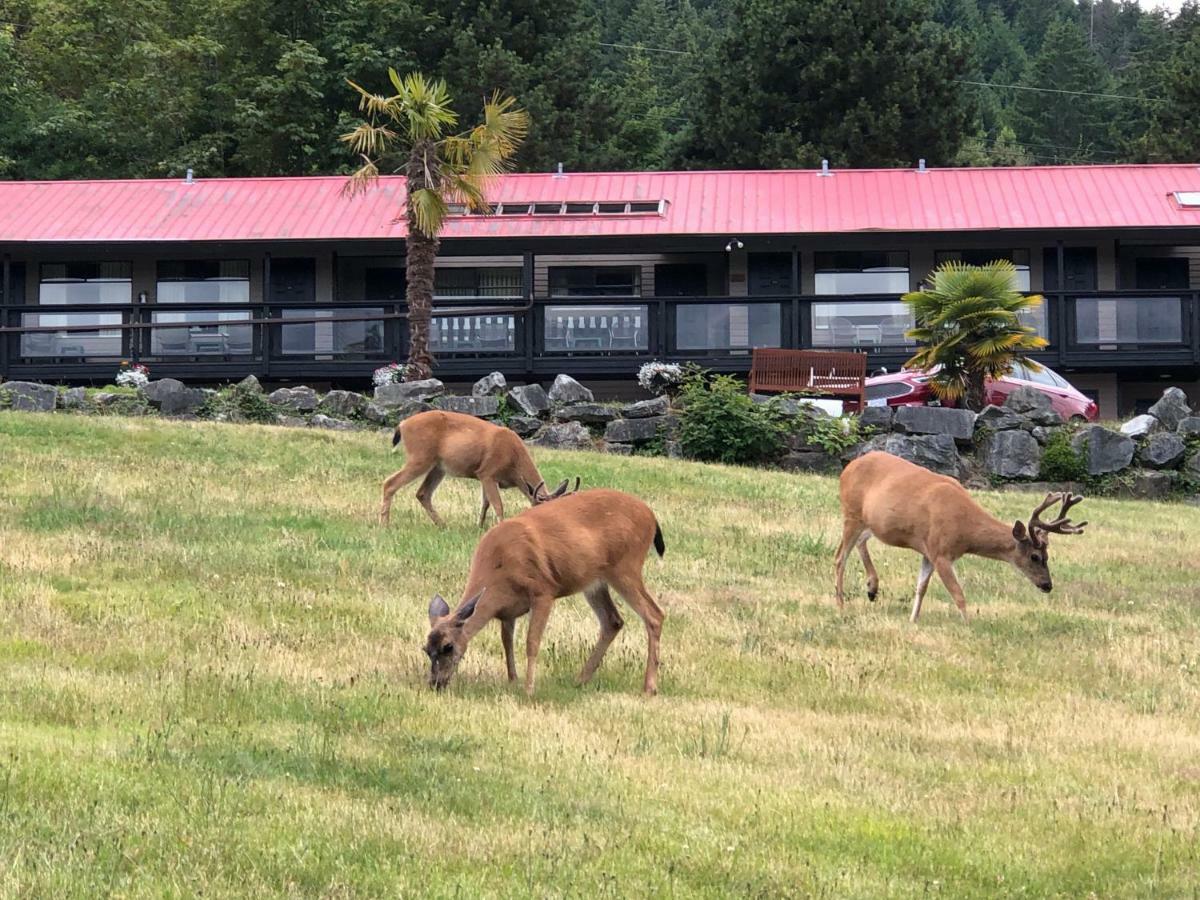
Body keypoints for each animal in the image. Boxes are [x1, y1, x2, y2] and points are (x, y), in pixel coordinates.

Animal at [379, 410, 576, 528]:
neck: (514, 461)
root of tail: (402, 424)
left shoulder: (482, 476)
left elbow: (485, 504)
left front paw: (479, 526)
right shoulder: (488, 472)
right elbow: (497, 505)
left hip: (438, 466)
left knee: (422, 493)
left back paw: (443, 525)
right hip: (420, 457)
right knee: (390, 483)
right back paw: (385, 525)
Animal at [422, 494, 667, 696]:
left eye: (448, 647)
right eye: (426, 649)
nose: (435, 684)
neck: (498, 570)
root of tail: (652, 516)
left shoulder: (543, 591)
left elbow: (532, 641)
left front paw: (529, 689)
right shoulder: (507, 610)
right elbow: (507, 641)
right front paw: (513, 679)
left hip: (626, 567)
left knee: (655, 614)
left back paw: (649, 687)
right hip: (595, 582)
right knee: (613, 621)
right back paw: (580, 680)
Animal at [835, 453, 1089, 624]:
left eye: (1048, 556)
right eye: (1035, 556)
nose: (1047, 585)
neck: (966, 531)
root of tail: (847, 468)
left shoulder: (928, 551)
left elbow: (921, 588)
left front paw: (912, 620)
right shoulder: (941, 552)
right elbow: (958, 593)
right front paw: (968, 624)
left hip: (869, 521)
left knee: (861, 542)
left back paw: (872, 587)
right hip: (851, 512)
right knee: (839, 557)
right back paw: (841, 605)